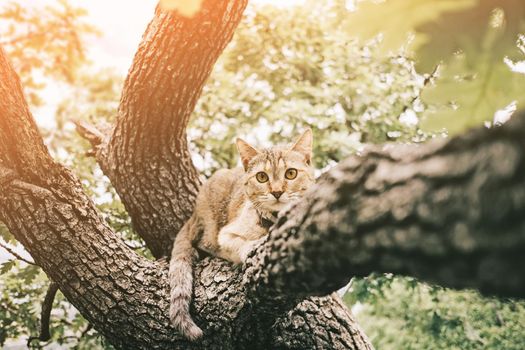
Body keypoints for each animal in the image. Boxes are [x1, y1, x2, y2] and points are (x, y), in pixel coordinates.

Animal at [170, 129, 314, 340]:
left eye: (291, 173)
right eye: (262, 177)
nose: (277, 192)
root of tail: (193, 214)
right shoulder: (225, 234)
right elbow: (240, 244)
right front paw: (253, 246)